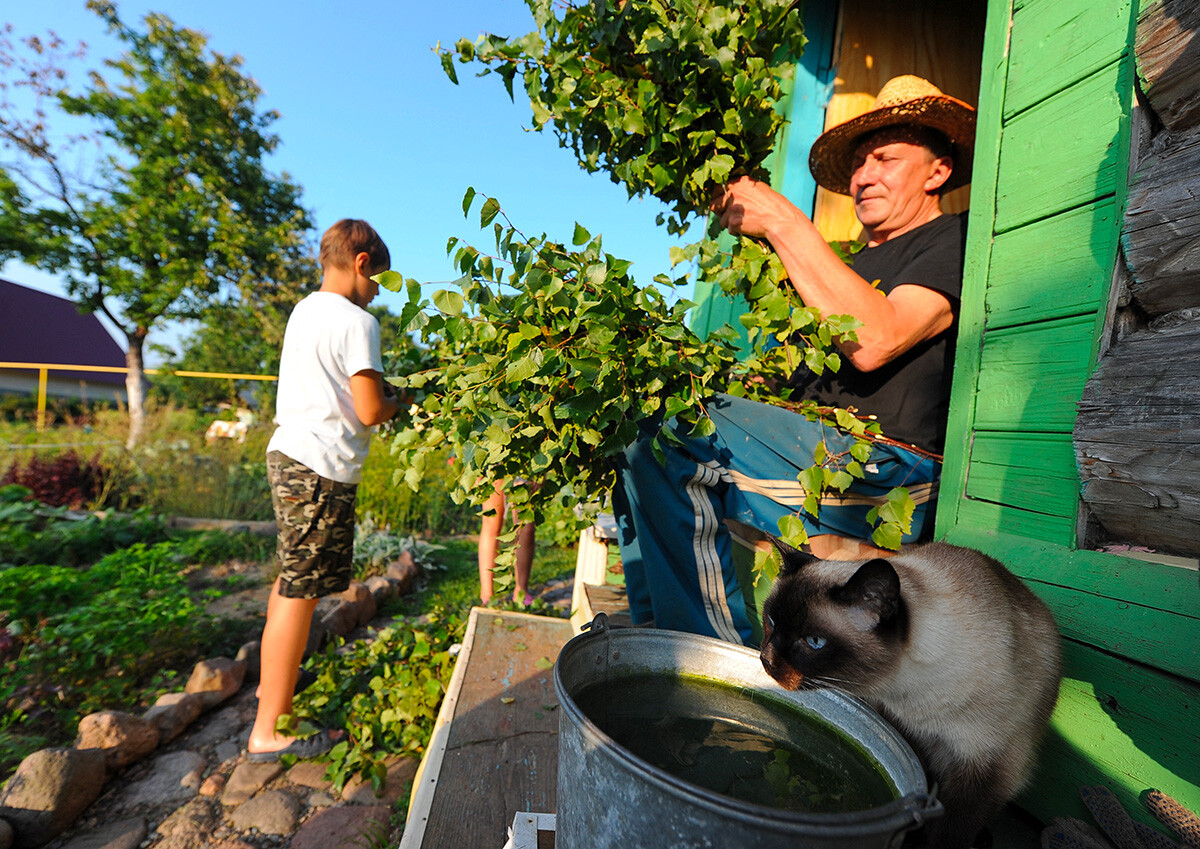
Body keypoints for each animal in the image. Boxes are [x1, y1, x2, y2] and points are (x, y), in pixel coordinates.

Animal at [758, 539, 1060, 844]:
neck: (909, 695)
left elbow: (949, 834)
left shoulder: (983, 769)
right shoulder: (903, 731)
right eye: (770, 620)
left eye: (814, 642)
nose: (766, 660)